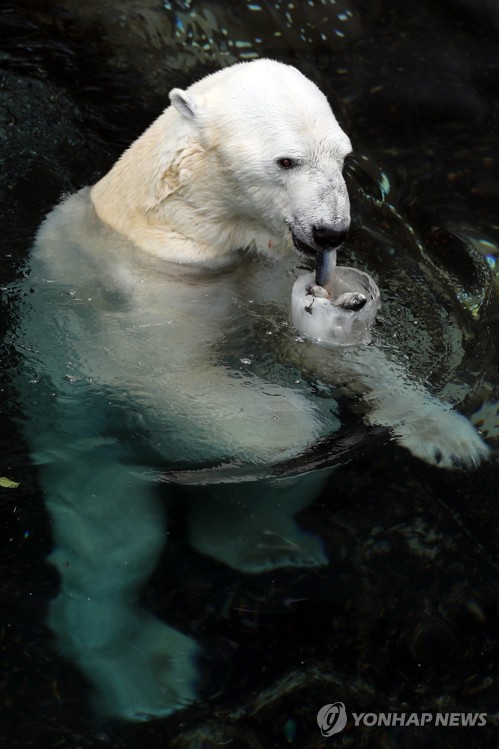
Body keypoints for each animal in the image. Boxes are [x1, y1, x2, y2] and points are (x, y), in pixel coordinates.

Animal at [15, 58, 488, 720]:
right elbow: (174, 386)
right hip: (77, 437)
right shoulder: (134, 307)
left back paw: (262, 542)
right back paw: (145, 675)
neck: (172, 232)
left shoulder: (259, 273)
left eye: (343, 155)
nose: (332, 231)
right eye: (286, 160)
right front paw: (306, 412)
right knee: (113, 540)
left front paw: (452, 439)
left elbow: (336, 357)